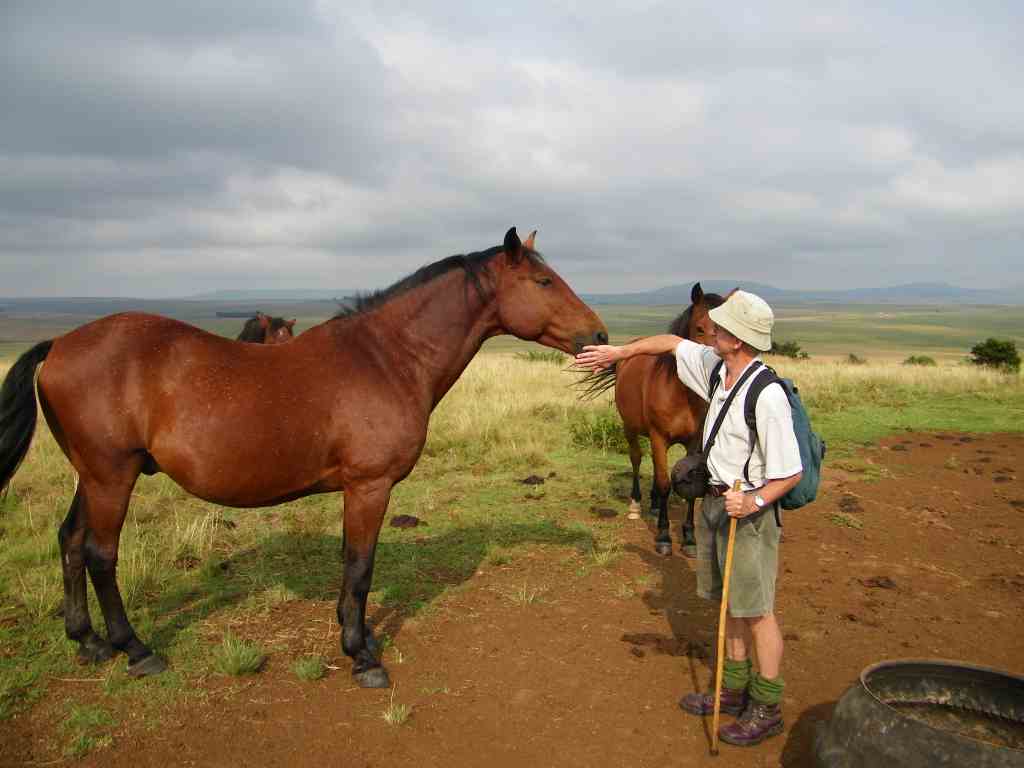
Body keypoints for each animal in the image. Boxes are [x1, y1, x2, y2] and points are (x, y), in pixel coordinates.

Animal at [0, 228, 602, 692]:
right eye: (544, 282)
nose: (597, 333)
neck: (387, 359)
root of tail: (60, 344)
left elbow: (352, 567)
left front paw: (360, 637)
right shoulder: (369, 486)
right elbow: (360, 568)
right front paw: (362, 656)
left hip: (91, 476)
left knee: (70, 541)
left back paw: (88, 642)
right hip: (111, 475)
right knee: (100, 554)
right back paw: (136, 649)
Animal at [581, 282, 724, 561]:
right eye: (700, 328)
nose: (717, 366)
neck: (682, 393)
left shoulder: (694, 443)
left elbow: (689, 487)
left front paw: (689, 538)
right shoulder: (659, 437)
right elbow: (665, 483)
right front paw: (664, 536)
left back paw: (656, 504)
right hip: (630, 429)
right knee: (637, 459)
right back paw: (637, 503)